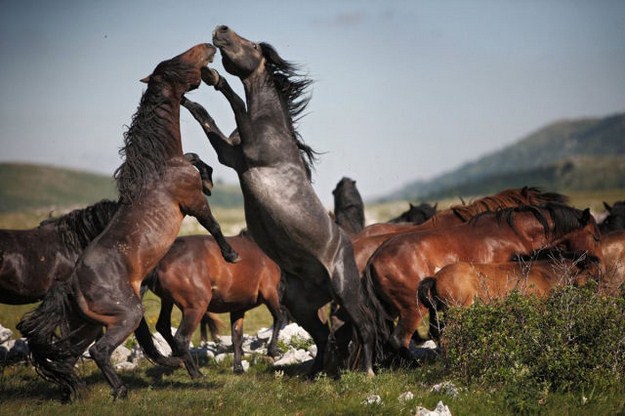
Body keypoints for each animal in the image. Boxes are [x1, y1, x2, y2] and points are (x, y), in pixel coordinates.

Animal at [137, 232, 286, 376]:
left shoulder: (237, 308)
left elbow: (237, 337)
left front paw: (238, 368)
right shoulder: (270, 292)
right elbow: (279, 318)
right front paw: (273, 351)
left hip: (167, 301)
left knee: (163, 326)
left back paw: (178, 360)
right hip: (196, 308)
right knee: (181, 338)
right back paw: (196, 373)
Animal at [180, 25, 380, 374]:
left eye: (251, 44)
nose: (221, 29)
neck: (271, 126)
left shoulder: (248, 151)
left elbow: (236, 102)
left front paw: (214, 77)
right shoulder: (231, 156)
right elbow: (206, 119)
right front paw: (188, 96)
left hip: (346, 291)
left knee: (364, 327)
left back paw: (366, 373)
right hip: (299, 304)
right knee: (323, 335)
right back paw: (314, 374)